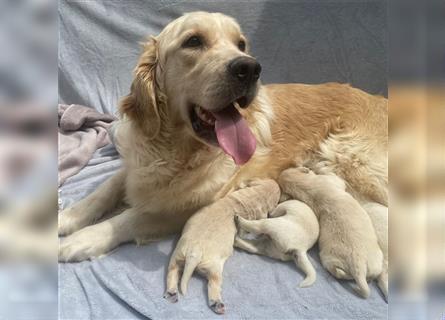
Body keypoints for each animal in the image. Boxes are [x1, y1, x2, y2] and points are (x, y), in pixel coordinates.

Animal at [58, 11, 386, 266]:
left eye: (241, 44)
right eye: (193, 41)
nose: (250, 67)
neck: (174, 148)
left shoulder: (188, 205)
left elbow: (130, 217)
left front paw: (84, 239)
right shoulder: (134, 166)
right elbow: (104, 190)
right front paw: (69, 218)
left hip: (350, 159)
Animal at [165, 179, 280, 314]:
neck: (251, 199)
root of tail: (195, 251)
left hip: (177, 255)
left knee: (172, 271)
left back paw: (171, 293)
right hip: (214, 268)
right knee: (213, 283)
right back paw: (217, 304)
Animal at [278, 166, 382, 298]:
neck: (302, 185)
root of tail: (358, 267)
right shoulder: (331, 181)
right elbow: (336, 179)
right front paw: (320, 169)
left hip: (374, 264)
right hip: (333, 259)